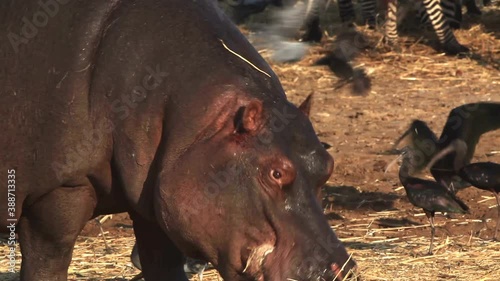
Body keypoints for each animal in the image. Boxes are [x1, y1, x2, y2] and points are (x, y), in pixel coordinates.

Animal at [1, 0, 358, 280]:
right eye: (276, 172)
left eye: (328, 165)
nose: (341, 270)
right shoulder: (58, 192)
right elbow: (47, 263)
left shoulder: (154, 206)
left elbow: (164, 265)